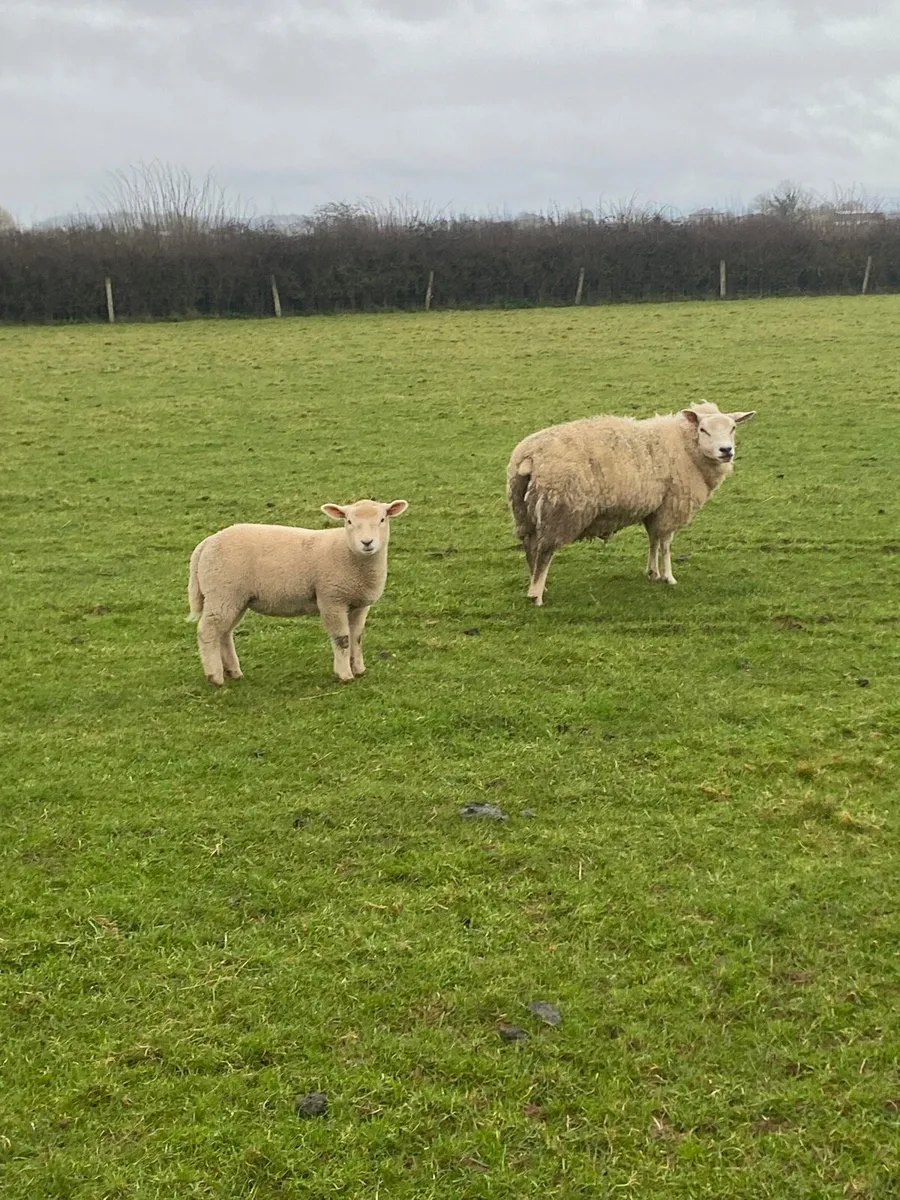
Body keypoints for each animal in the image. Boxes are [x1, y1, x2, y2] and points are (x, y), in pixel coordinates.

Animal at [187, 498, 409, 685]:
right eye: (349, 521)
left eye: (382, 519)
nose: (367, 543)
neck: (348, 552)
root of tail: (207, 543)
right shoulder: (332, 599)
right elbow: (342, 639)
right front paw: (345, 674)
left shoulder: (359, 604)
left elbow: (356, 637)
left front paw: (359, 669)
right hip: (222, 592)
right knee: (207, 631)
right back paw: (215, 676)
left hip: (235, 598)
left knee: (224, 633)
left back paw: (233, 671)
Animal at [507, 401, 755, 606]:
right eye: (703, 429)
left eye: (733, 428)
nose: (726, 450)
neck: (685, 447)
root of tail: (529, 457)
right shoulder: (671, 506)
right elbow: (666, 543)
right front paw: (669, 577)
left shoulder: (656, 508)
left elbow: (654, 540)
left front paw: (653, 572)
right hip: (560, 510)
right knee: (544, 551)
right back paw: (536, 595)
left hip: (523, 510)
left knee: (529, 546)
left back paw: (537, 585)